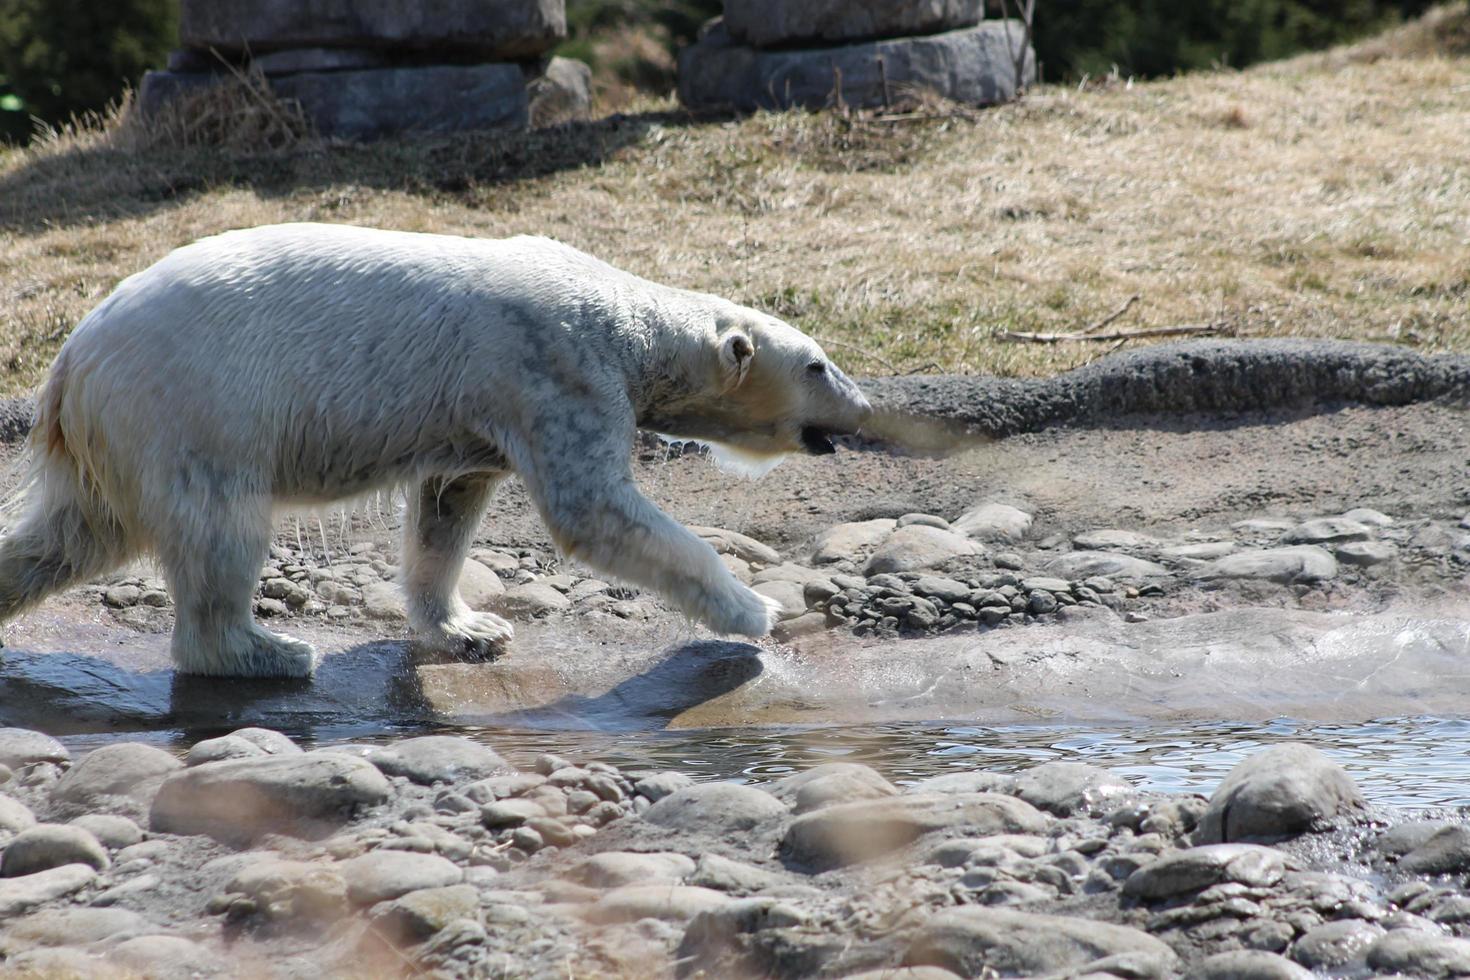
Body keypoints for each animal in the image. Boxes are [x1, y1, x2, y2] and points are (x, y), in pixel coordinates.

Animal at [0, 224, 870, 678]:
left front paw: (469, 629)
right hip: (194, 409)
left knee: (68, 537)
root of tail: (70, 365)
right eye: (819, 364)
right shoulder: (554, 369)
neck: (628, 319)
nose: (863, 407)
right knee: (220, 529)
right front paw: (755, 610)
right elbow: (593, 510)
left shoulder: (477, 415)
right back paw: (270, 650)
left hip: (118, 441)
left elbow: (446, 507)